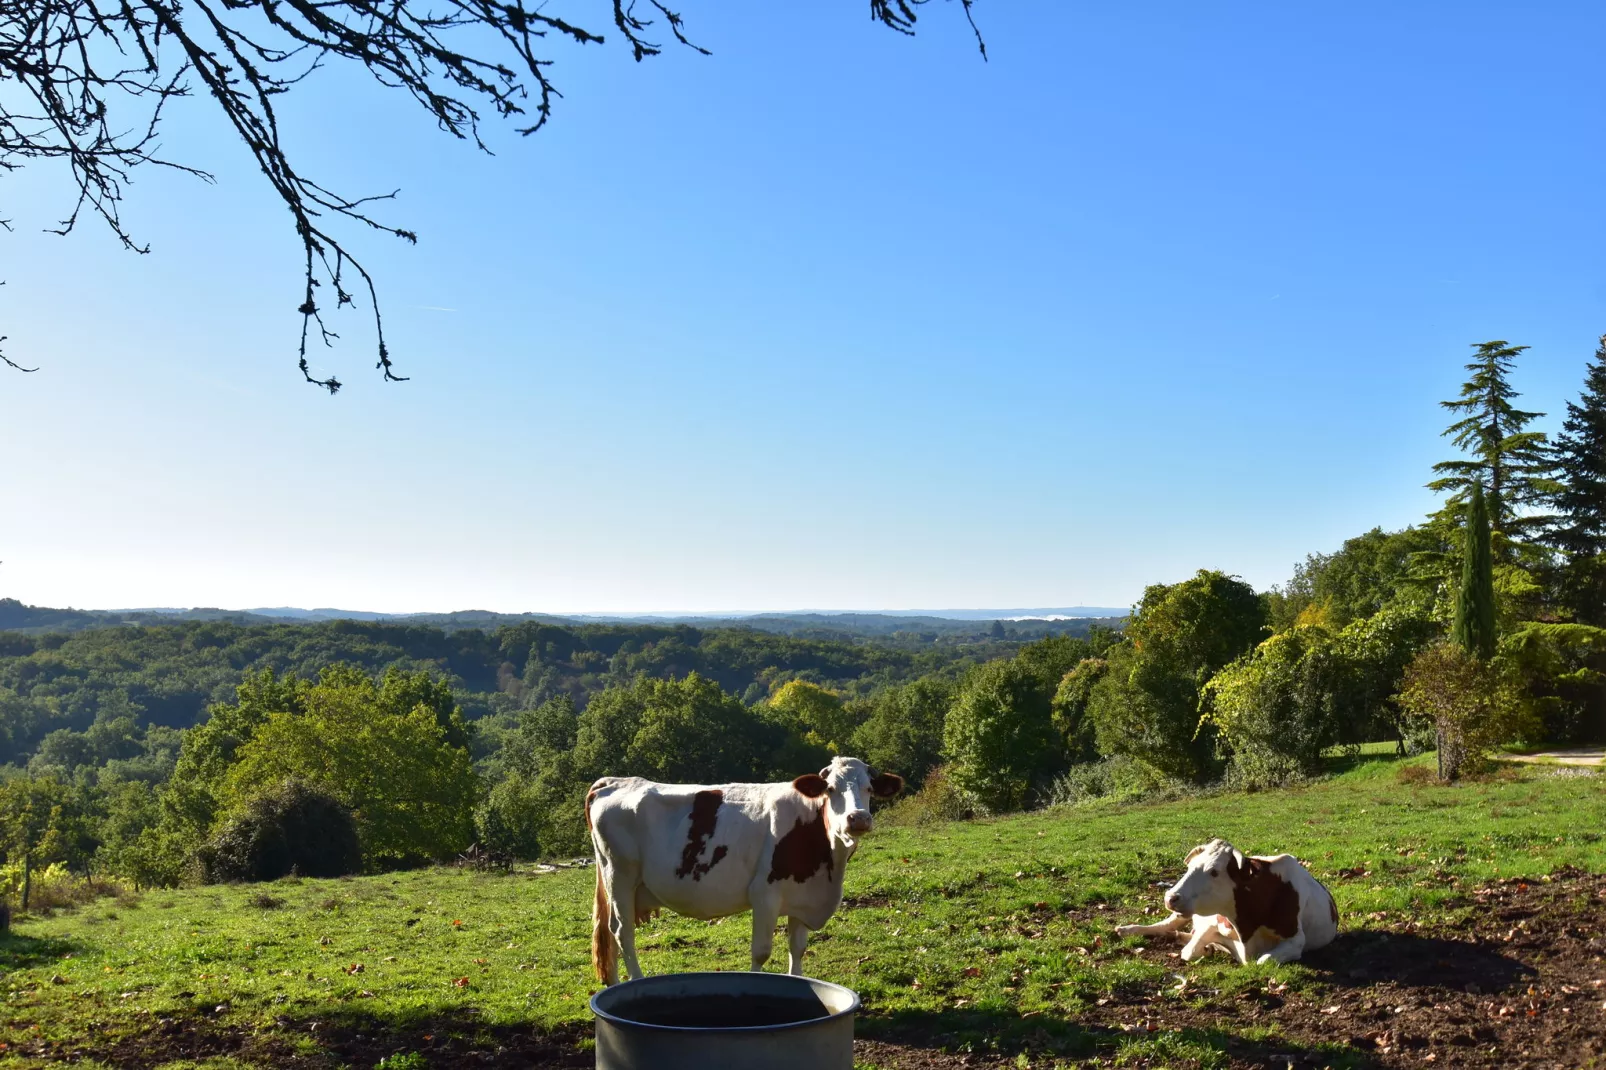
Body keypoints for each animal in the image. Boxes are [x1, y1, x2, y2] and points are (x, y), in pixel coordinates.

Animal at [584, 755, 905, 976]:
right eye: (831, 789)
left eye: (869, 788)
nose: (858, 818)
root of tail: (615, 781)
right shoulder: (765, 894)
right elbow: (761, 952)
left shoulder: (802, 896)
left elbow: (798, 949)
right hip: (619, 875)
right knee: (621, 931)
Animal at [1111, 835, 1336, 963]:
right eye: (1190, 867)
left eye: (1214, 872)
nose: (1170, 897)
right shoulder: (1211, 921)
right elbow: (1190, 951)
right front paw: (1209, 946)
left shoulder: (1296, 939)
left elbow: (1263, 961)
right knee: (1163, 925)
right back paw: (1128, 930)